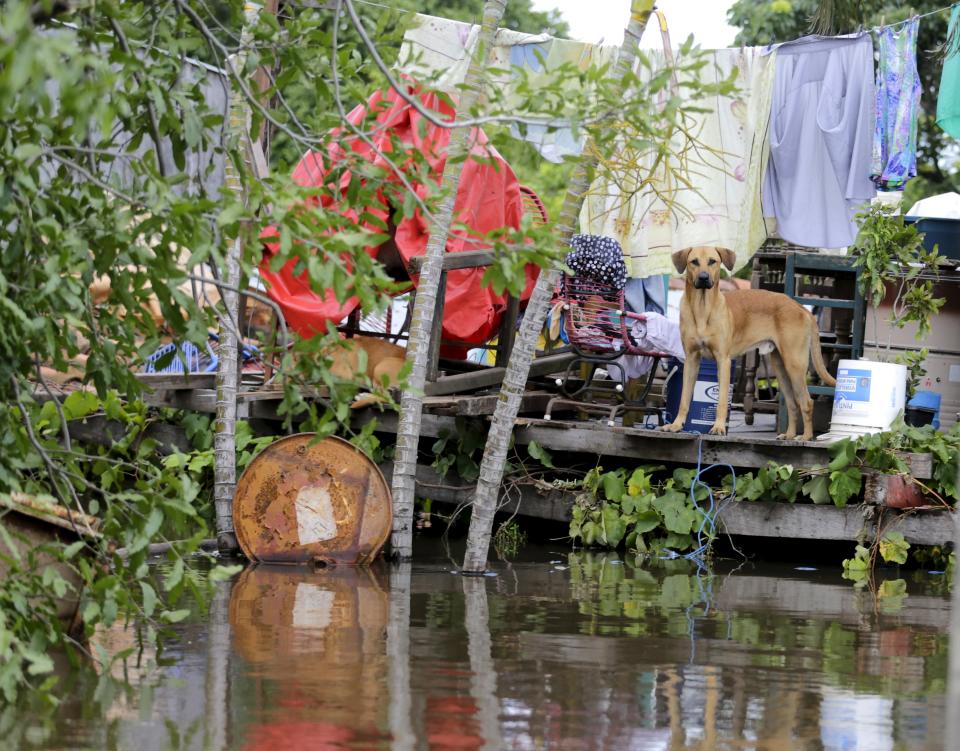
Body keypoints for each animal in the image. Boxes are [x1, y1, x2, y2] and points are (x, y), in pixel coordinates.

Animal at [664, 247, 836, 440]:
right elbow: (684, 398)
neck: (702, 308)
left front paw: (718, 428)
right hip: (781, 368)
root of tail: (801, 308)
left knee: (806, 402)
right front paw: (676, 425)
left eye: (712, 261)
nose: (703, 277)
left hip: (795, 364)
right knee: (793, 404)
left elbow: (722, 400)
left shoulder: (723, 361)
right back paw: (789, 435)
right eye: (693, 262)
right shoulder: (691, 360)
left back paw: (805, 437)